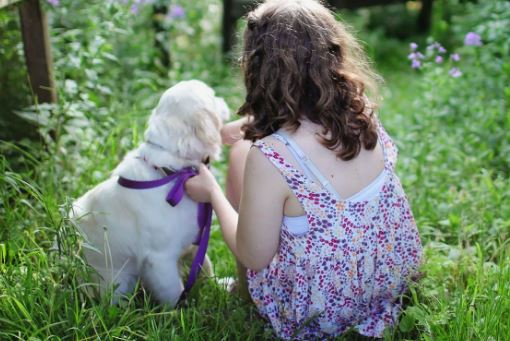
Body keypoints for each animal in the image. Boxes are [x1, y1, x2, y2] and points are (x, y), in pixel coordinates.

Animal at [70, 80, 230, 306]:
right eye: (213, 97)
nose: (224, 100)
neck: (172, 172)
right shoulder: (160, 259)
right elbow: (174, 292)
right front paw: (182, 311)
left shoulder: (194, 241)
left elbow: (205, 266)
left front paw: (221, 286)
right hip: (118, 282)